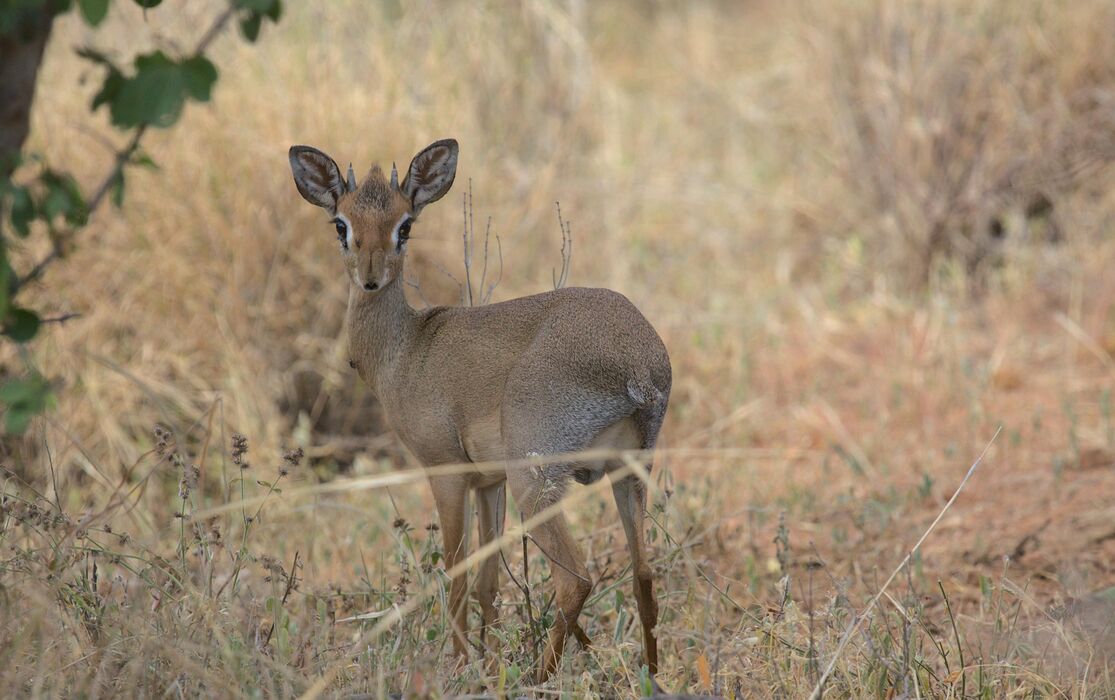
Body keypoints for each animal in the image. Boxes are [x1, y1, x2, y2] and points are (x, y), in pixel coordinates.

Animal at [289, 138, 669, 677]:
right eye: (341, 224)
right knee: (644, 574)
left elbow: (456, 575)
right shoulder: (488, 484)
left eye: (405, 225)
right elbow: (489, 582)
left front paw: (461, 664)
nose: (370, 278)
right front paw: (488, 666)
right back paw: (649, 676)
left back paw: (539, 676)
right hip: (627, 473)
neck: (407, 348)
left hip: (535, 479)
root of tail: (638, 363)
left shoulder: (446, 473)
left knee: (576, 579)